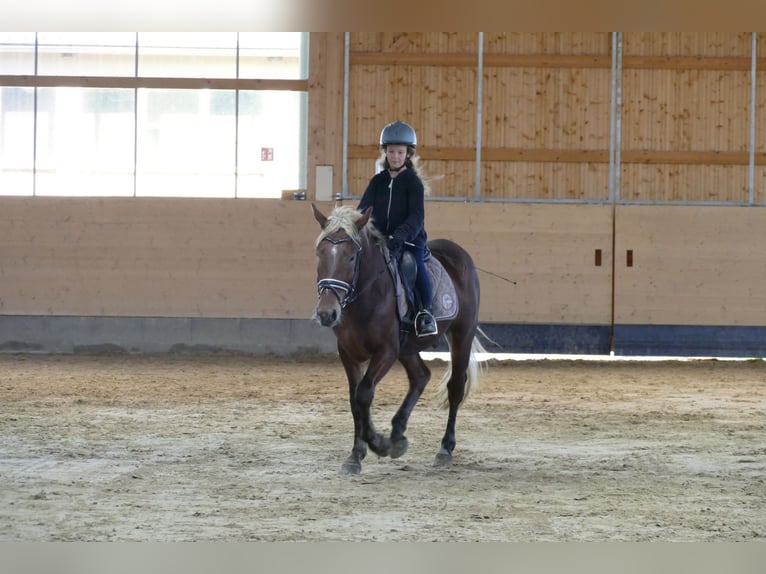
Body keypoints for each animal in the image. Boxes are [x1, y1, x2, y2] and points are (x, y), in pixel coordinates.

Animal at [310, 204, 486, 476]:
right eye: (320, 254)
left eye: (351, 257)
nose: (327, 313)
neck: (365, 296)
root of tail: (458, 253)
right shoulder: (348, 352)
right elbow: (355, 401)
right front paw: (357, 455)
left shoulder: (386, 351)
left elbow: (363, 394)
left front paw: (378, 444)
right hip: (407, 347)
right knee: (421, 376)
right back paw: (398, 433)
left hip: (461, 334)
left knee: (455, 387)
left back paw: (444, 449)